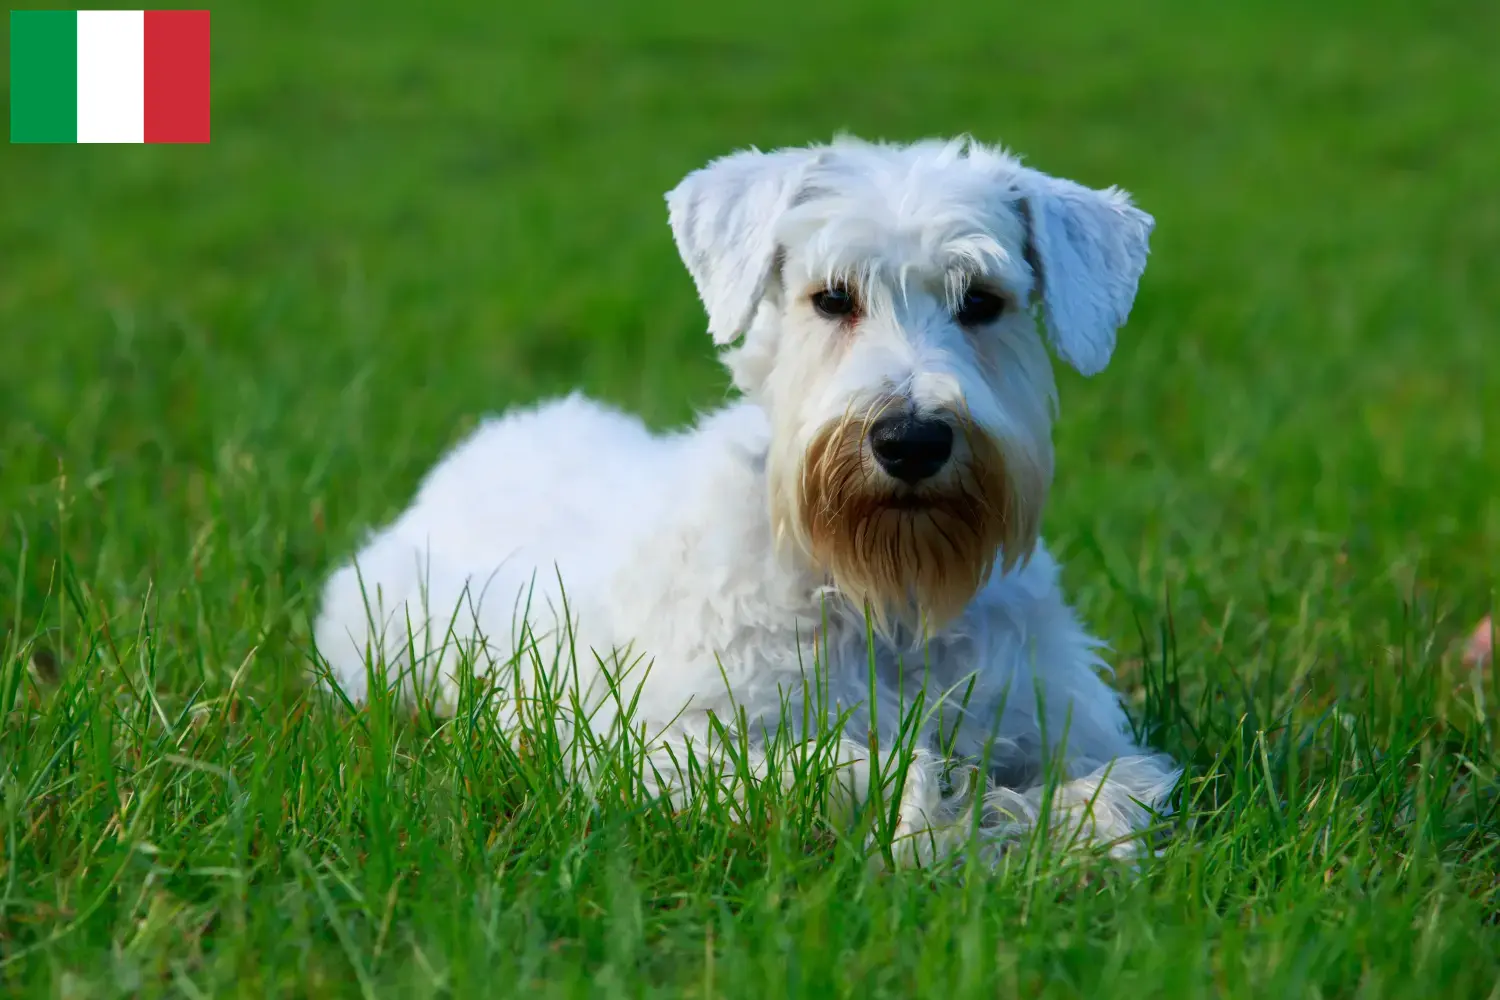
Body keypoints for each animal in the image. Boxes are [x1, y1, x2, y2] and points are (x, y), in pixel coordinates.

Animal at [313, 134, 1182, 869]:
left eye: (982, 302)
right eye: (831, 298)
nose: (910, 441)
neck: (881, 591)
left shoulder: (1080, 728)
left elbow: (1114, 797)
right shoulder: (655, 743)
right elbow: (863, 772)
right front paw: (949, 822)